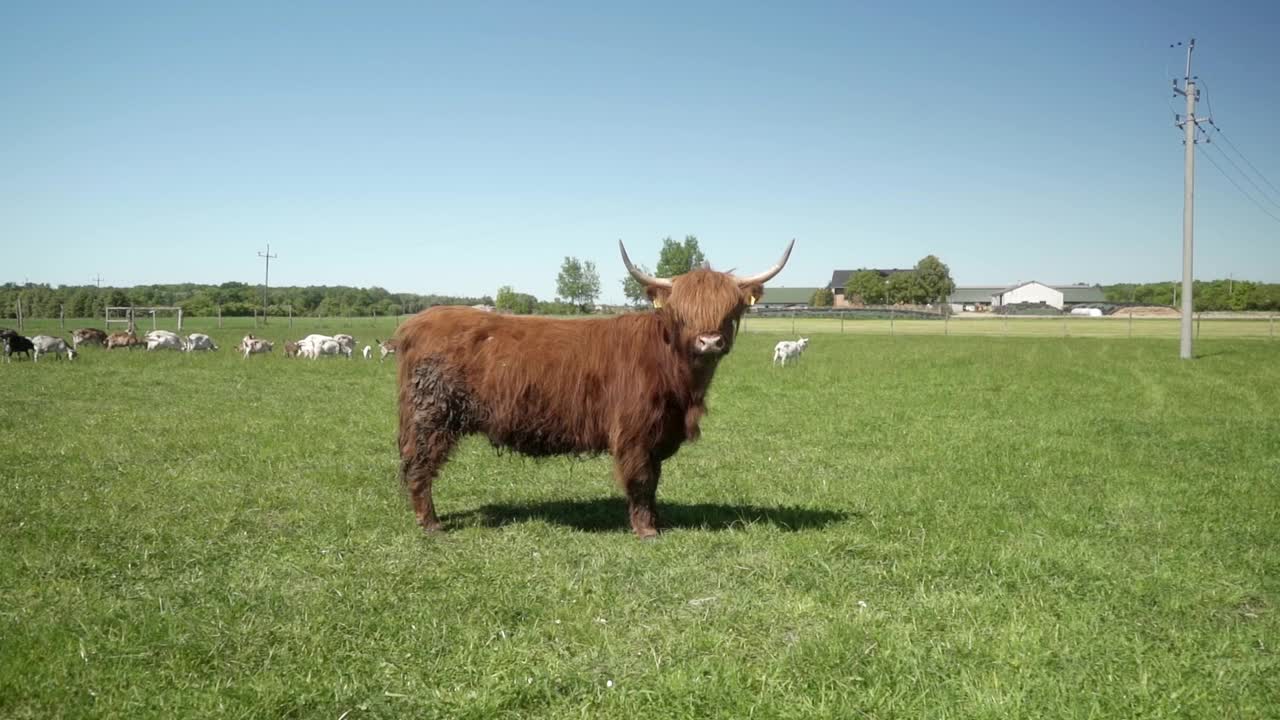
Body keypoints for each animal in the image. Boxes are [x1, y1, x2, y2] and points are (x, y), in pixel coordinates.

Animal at [394, 238, 793, 535]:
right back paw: (431, 524)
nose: (709, 342)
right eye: (681, 313)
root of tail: (419, 321)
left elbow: (654, 480)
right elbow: (641, 480)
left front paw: (658, 521)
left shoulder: (658, 433)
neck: (682, 385)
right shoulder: (633, 432)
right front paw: (646, 530)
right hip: (431, 417)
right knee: (419, 466)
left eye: (731, 310)